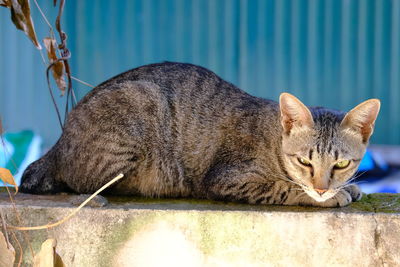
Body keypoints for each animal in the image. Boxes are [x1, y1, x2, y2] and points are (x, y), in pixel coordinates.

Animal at [19, 62, 382, 207]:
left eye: (341, 164)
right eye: (305, 162)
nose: (322, 188)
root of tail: (59, 143)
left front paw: (349, 188)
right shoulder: (227, 177)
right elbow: (282, 188)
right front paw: (331, 196)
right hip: (142, 102)